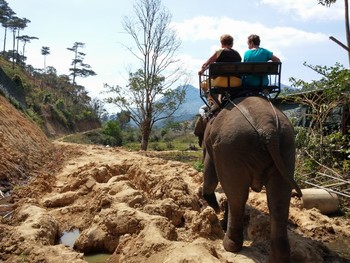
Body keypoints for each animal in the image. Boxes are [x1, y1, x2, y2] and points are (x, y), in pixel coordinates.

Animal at [193, 96, 302, 263]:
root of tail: (268, 128)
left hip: (230, 148)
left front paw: (215, 209)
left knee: (237, 196)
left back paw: (229, 245)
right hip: (287, 146)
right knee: (278, 200)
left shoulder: (209, 142)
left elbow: (210, 174)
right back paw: (277, 258)